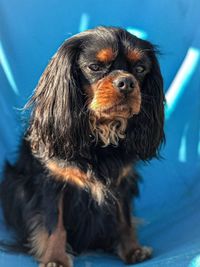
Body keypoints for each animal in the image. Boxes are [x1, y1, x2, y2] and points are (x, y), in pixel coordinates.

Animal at [0, 26, 164, 266]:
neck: (100, 134)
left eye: (140, 69)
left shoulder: (122, 182)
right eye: (94, 67)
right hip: (13, 183)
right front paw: (55, 258)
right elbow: (55, 225)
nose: (127, 82)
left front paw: (132, 250)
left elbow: (124, 219)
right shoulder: (52, 182)